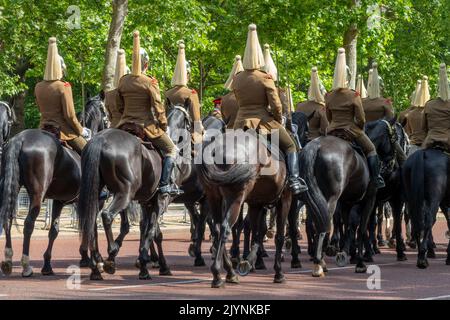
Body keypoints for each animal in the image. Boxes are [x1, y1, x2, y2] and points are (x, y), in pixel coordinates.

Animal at [197, 127, 292, 288]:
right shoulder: (285, 200)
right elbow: (277, 236)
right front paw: (278, 273)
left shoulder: (256, 203)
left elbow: (257, 232)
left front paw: (250, 260)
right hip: (235, 198)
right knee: (225, 228)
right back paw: (217, 274)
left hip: (214, 197)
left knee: (217, 229)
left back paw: (230, 272)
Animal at [300, 132, 378, 278]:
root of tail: (317, 144)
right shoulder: (369, 201)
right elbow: (361, 229)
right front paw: (360, 263)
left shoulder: (346, 203)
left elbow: (348, 227)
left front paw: (346, 252)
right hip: (330, 198)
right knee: (323, 224)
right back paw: (318, 264)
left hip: (311, 198)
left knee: (315, 223)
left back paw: (321, 260)